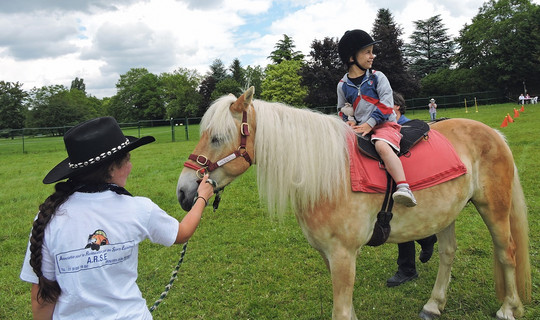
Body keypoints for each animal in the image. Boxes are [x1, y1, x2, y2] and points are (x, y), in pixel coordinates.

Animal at [177, 87, 532, 320]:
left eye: (218, 138)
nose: (184, 192)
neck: (329, 174)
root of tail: (494, 134)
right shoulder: (328, 255)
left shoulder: (344, 255)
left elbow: (341, 311)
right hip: (446, 214)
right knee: (447, 254)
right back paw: (434, 305)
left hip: (494, 209)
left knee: (507, 252)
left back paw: (507, 309)